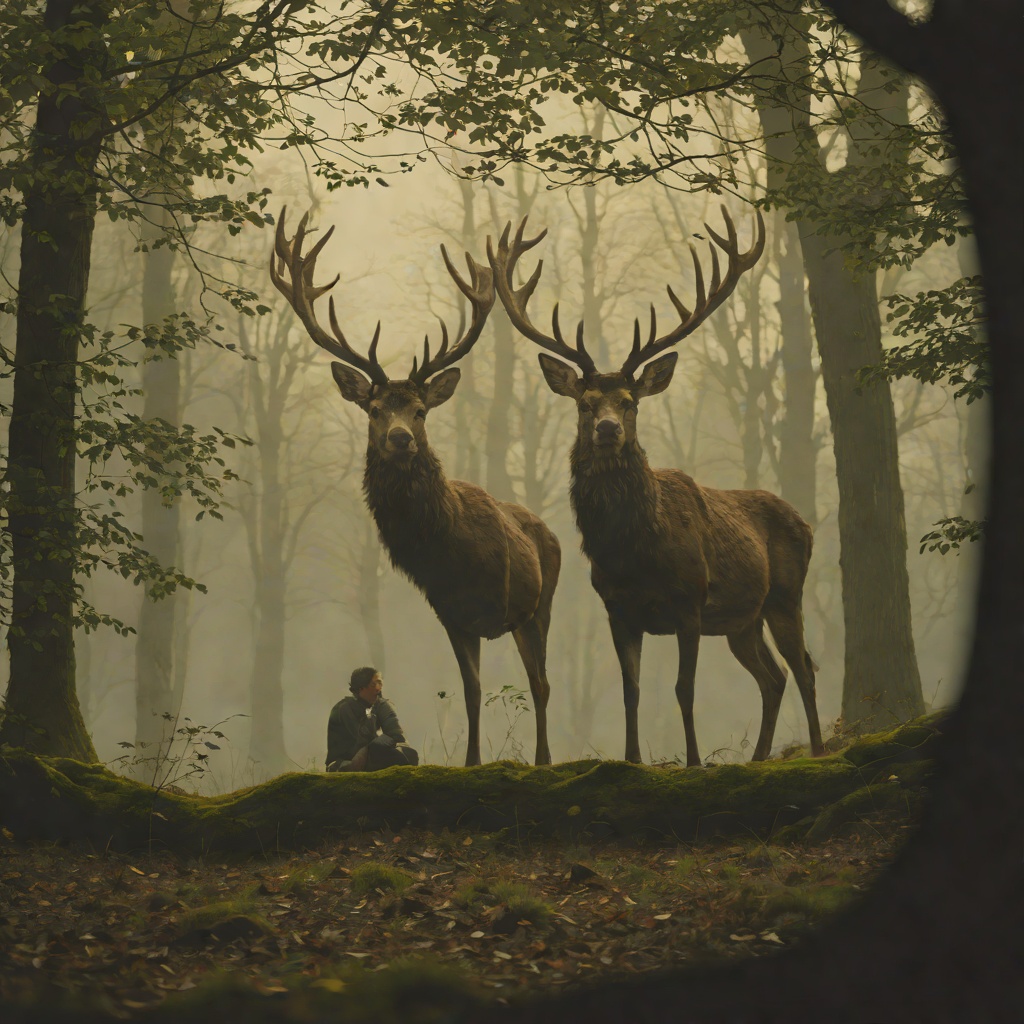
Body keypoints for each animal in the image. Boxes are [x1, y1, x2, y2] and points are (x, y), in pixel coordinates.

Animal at [270, 208, 561, 766]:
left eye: (421, 410)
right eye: (374, 409)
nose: (401, 438)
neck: (451, 548)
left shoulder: (504, 610)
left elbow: (509, 686)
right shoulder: (450, 612)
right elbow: (469, 691)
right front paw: (471, 762)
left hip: (543, 603)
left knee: (541, 684)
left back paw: (544, 758)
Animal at [488, 208, 825, 766]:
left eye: (630, 402)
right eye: (585, 403)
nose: (607, 429)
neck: (636, 552)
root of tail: (806, 521)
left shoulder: (690, 600)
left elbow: (683, 689)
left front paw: (693, 761)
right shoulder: (618, 608)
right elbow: (632, 690)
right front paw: (632, 760)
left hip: (785, 594)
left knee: (804, 669)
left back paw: (817, 750)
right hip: (741, 620)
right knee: (773, 677)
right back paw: (758, 757)